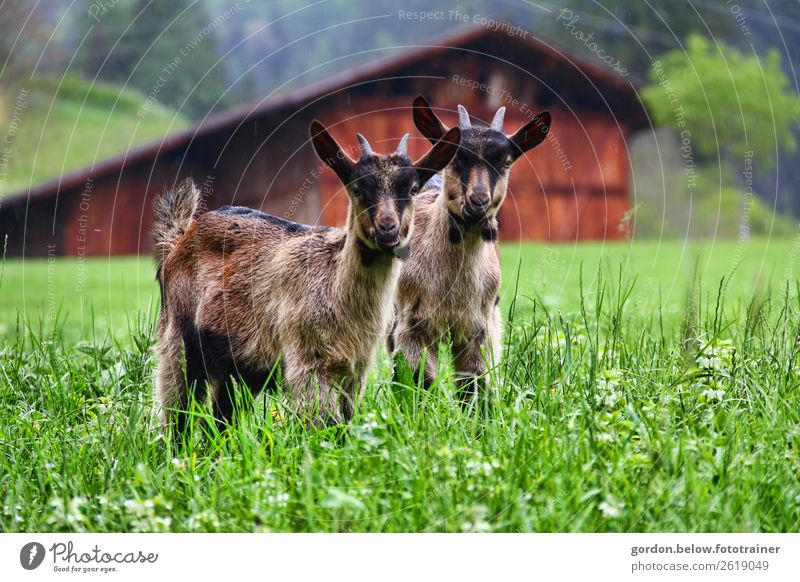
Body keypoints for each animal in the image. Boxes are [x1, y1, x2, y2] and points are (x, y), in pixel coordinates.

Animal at [152, 121, 460, 432]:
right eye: (357, 188)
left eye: (412, 188)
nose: (388, 229)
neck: (335, 284)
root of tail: (178, 240)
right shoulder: (307, 363)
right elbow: (325, 425)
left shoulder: (356, 368)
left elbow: (344, 422)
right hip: (178, 339)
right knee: (176, 409)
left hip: (238, 367)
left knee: (221, 419)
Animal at [392, 98, 552, 402]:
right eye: (456, 158)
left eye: (506, 161)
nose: (478, 201)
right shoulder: (412, 324)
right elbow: (418, 381)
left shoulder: (479, 327)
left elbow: (474, 385)